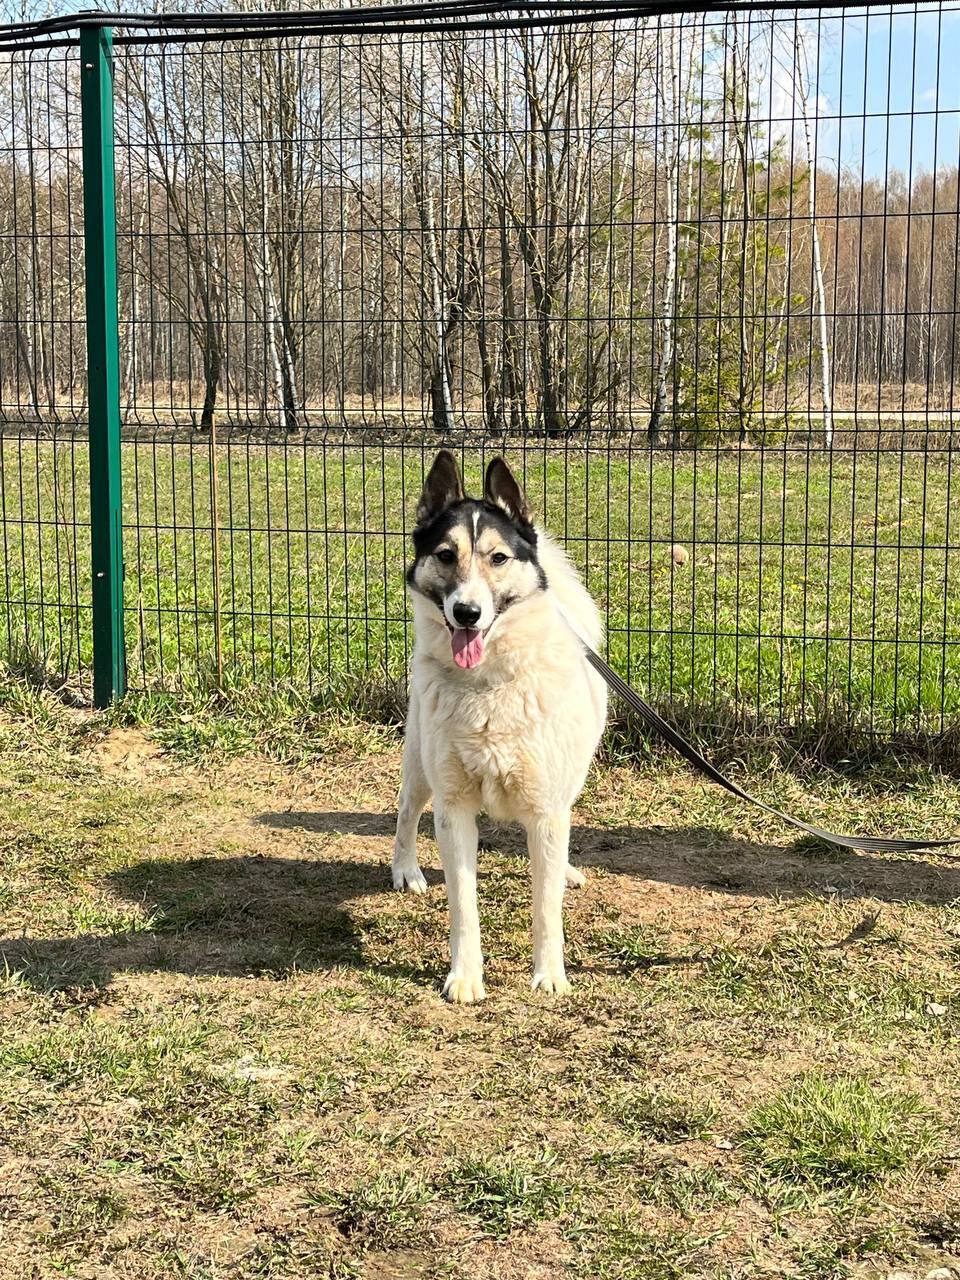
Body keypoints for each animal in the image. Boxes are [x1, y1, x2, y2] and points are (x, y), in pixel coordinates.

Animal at [391, 450, 609, 998]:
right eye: (446, 555)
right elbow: (463, 907)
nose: (467, 612)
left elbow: (546, 908)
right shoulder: (453, 809)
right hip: (420, 763)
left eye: (498, 559)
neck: (488, 685)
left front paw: (550, 974)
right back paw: (405, 869)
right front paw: (465, 977)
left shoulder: (546, 809)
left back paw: (567, 869)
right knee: (406, 810)